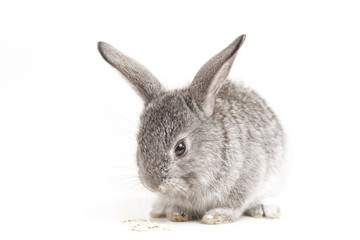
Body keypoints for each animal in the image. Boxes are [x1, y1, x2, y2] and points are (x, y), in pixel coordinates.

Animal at [97, 34, 286, 224]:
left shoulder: (248, 176)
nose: (152, 184)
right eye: (140, 144)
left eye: (180, 148)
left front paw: (215, 216)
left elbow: (235, 203)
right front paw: (176, 213)